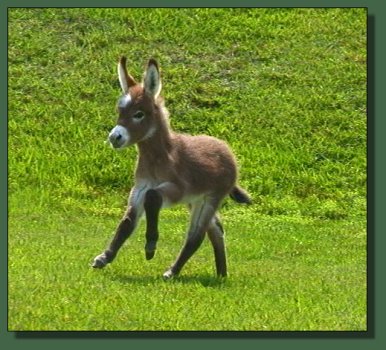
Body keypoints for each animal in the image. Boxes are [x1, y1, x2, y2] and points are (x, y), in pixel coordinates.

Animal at [92, 56, 252, 278]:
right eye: (119, 111)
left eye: (139, 114)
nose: (115, 137)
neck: (158, 159)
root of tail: (227, 151)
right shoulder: (139, 189)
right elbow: (126, 223)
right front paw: (105, 257)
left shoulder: (176, 189)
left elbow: (153, 198)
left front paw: (150, 246)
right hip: (196, 200)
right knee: (216, 230)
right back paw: (221, 273)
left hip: (210, 199)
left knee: (196, 236)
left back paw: (172, 271)